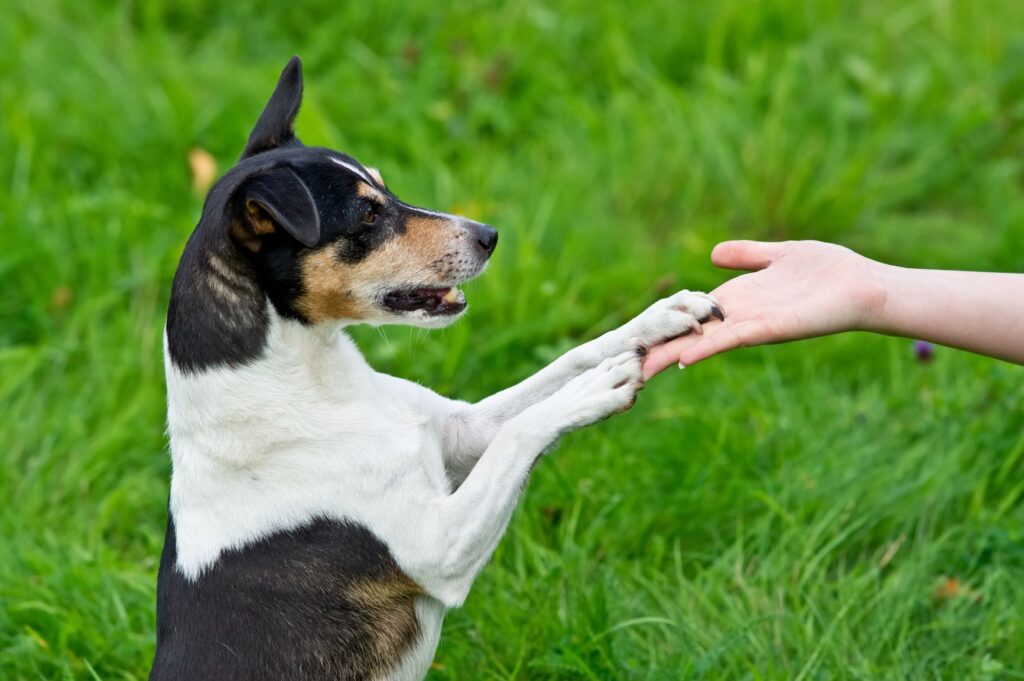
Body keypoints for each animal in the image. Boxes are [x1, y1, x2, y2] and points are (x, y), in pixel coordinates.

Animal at [151, 55, 724, 675]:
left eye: (385, 188)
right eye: (367, 216)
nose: (490, 235)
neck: (314, 386)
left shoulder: (461, 433)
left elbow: (563, 364)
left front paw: (660, 317)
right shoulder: (439, 546)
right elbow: (524, 428)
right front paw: (595, 389)